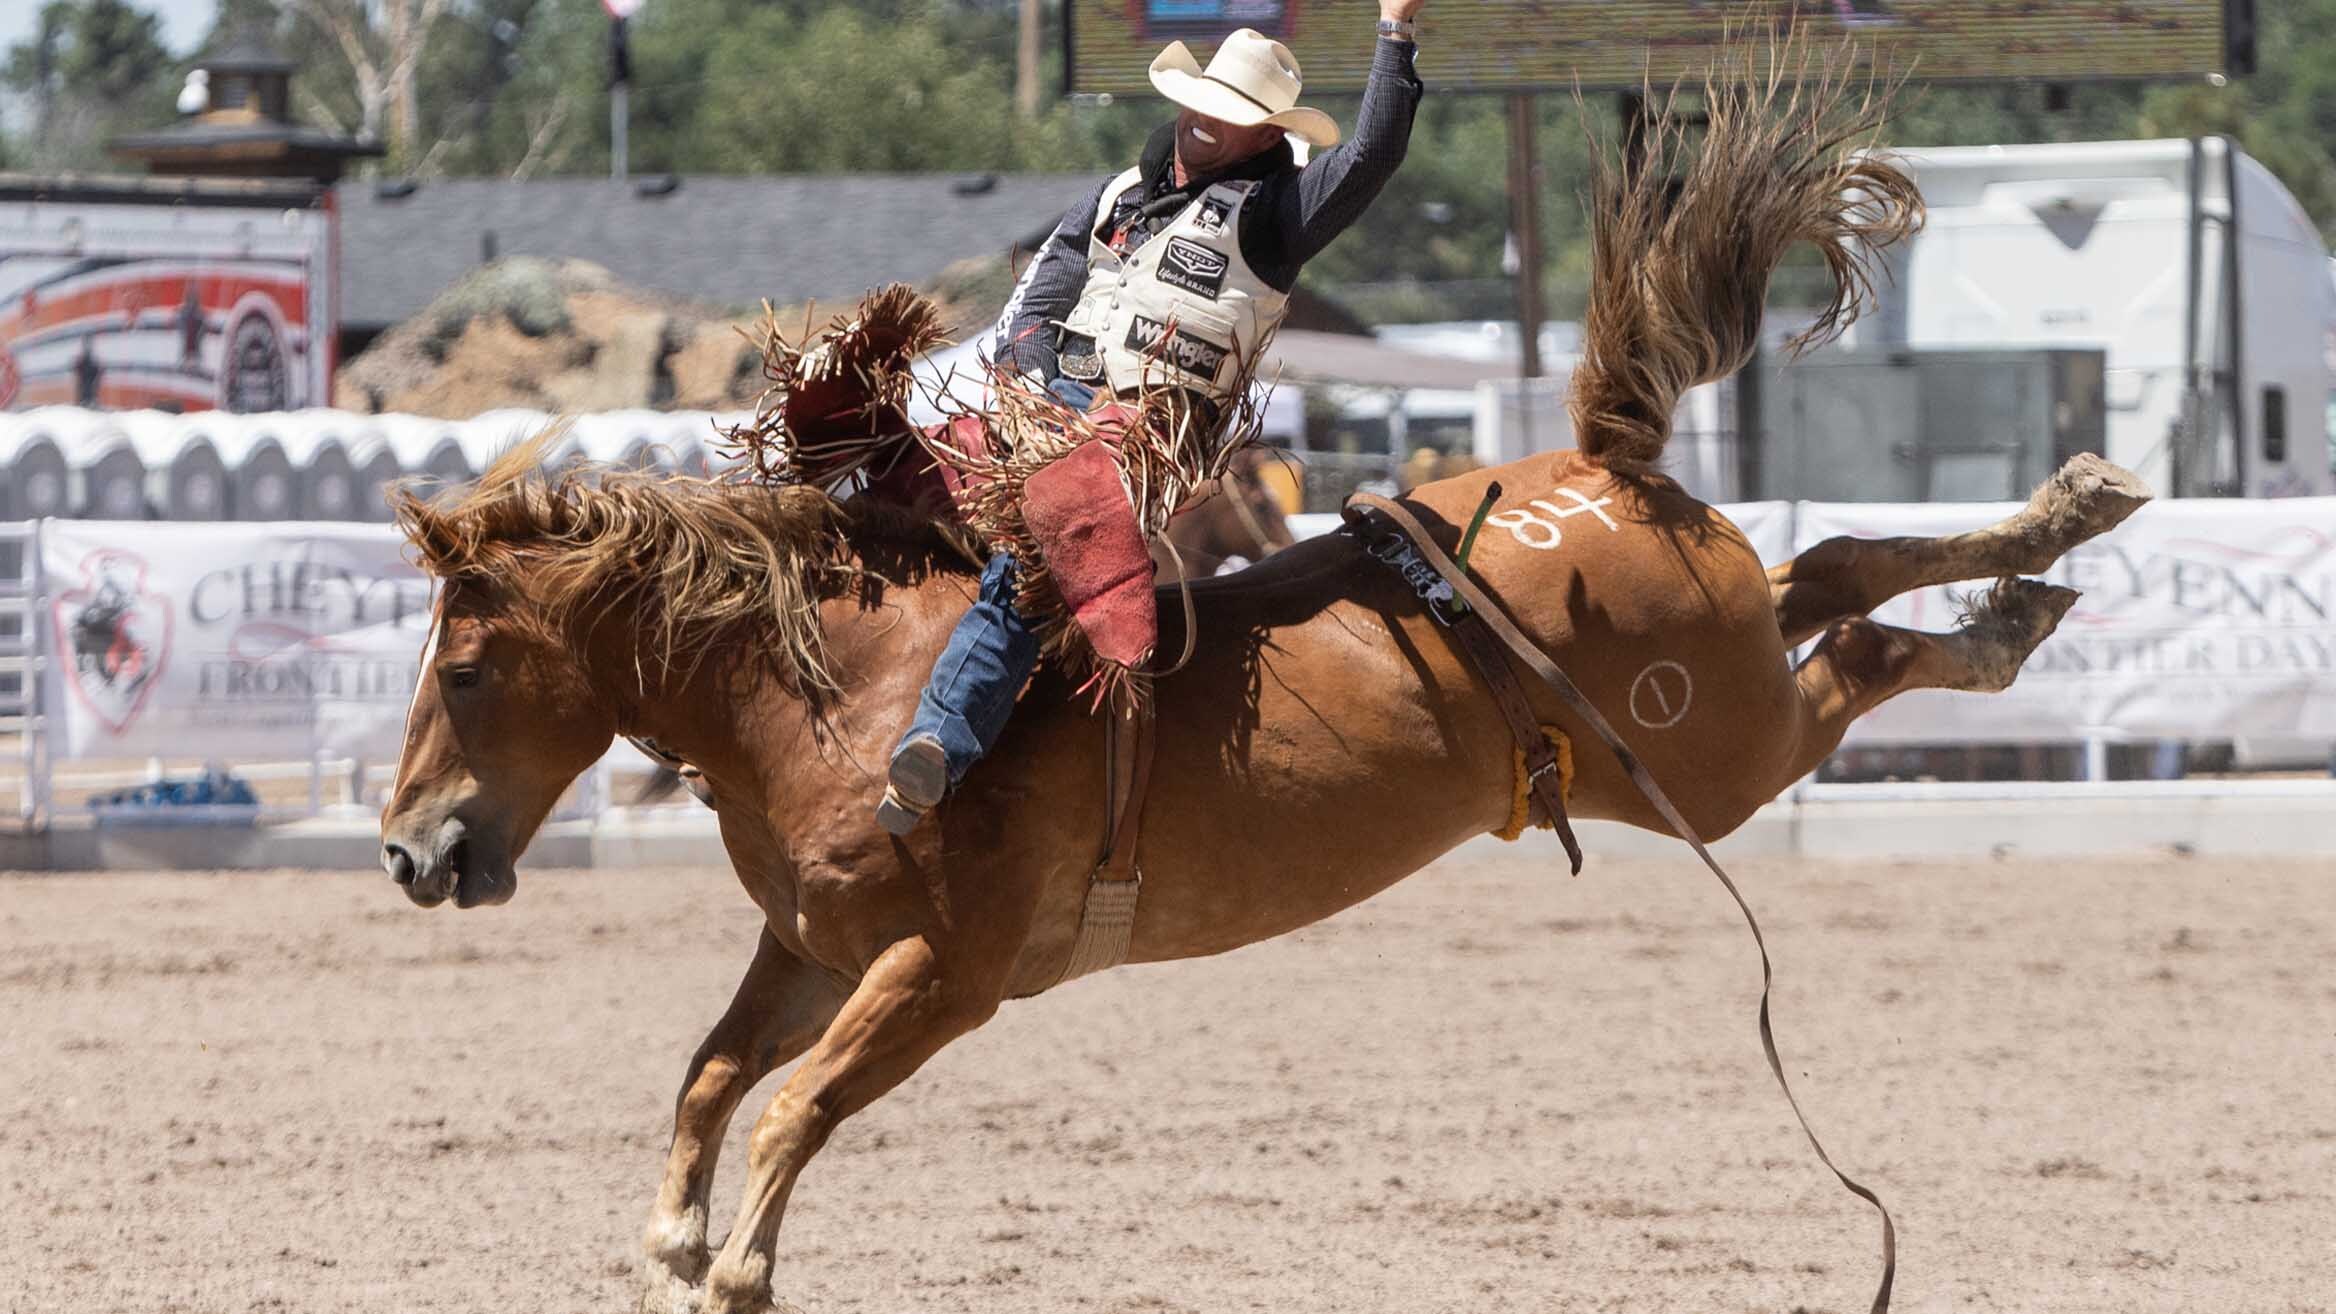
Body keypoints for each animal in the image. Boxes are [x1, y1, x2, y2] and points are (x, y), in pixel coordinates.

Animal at [373, 46, 2139, 1309]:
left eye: (464, 665)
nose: (406, 853)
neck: (849, 693)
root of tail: (1603, 470)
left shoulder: (944, 972)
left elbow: (795, 1101)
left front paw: (736, 1264)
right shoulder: (811, 941)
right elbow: (713, 1073)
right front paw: (675, 1242)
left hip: (1720, 755)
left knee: (1854, 634)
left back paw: (2039, 559)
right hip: (1710, 698)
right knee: (1825, 577)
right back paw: (2047, 546)